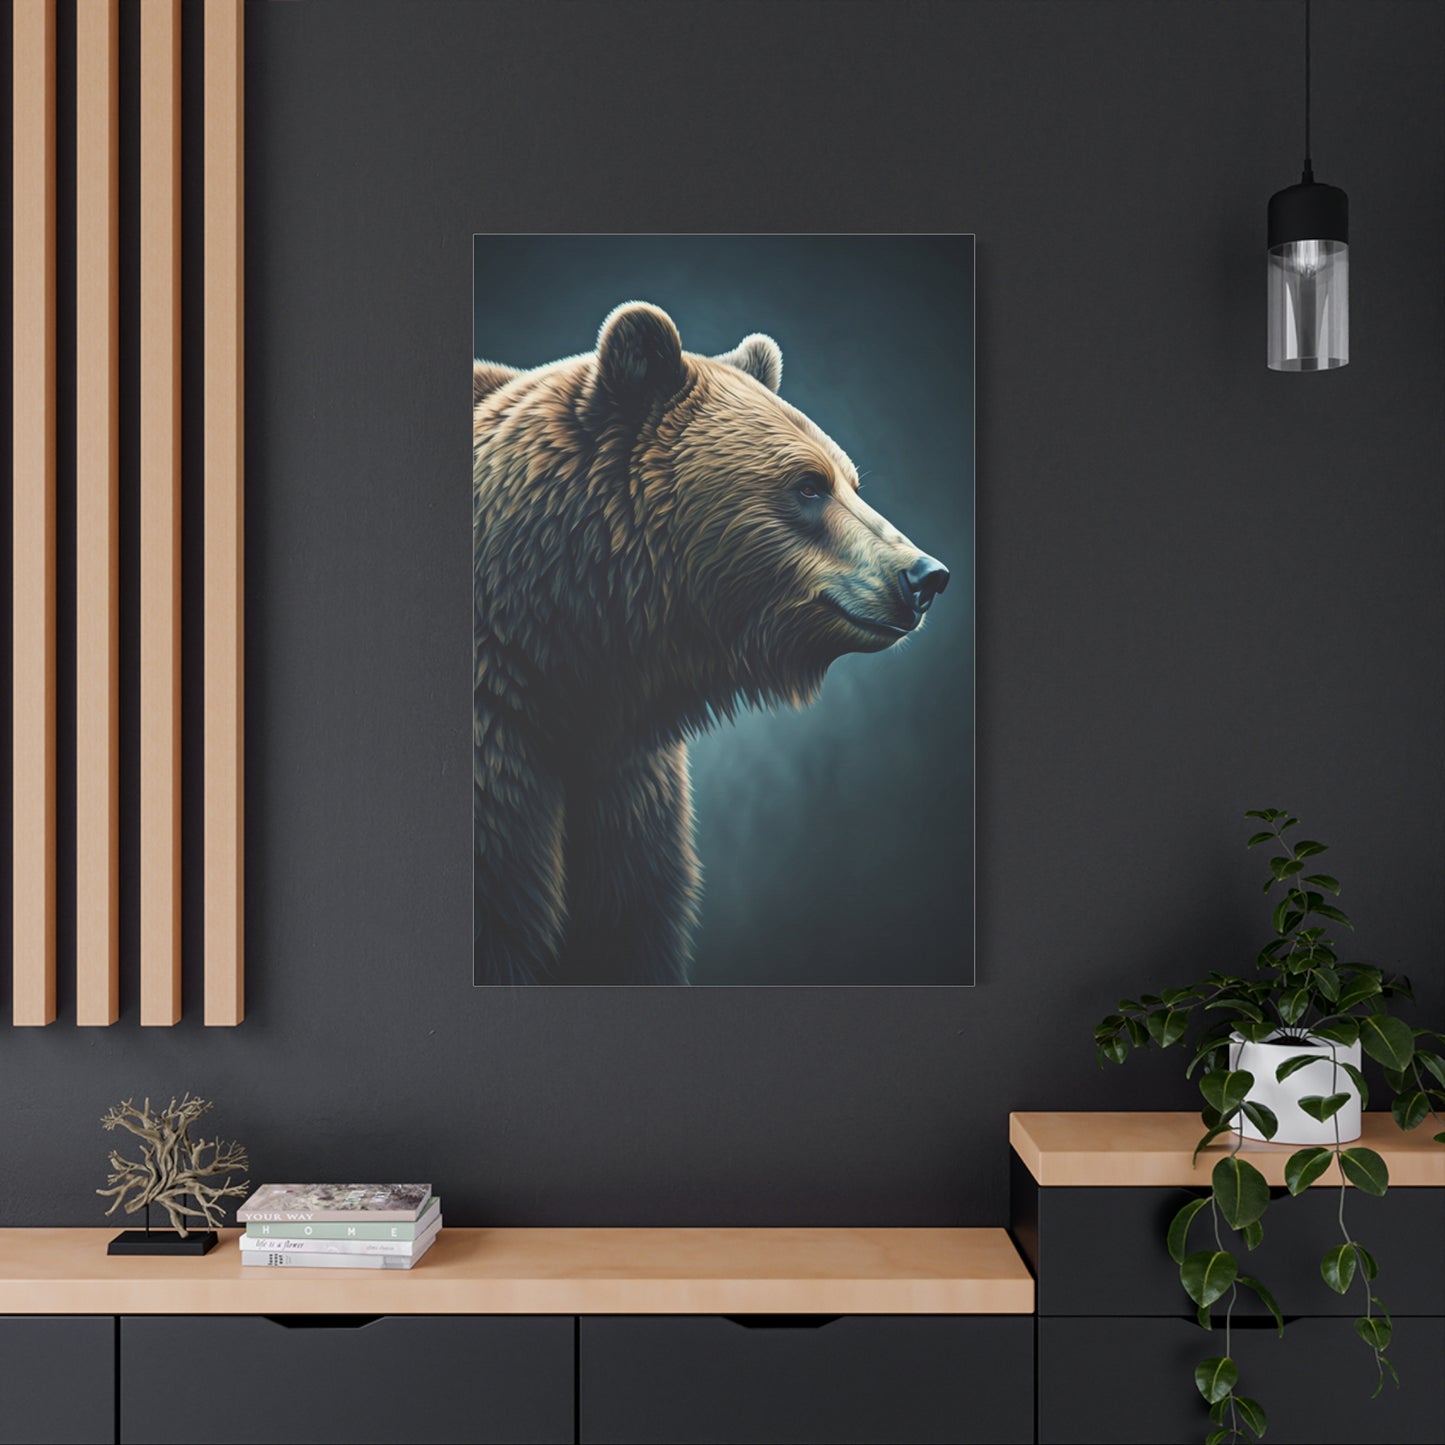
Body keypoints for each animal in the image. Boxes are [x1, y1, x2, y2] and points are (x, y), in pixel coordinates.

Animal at [473, 302, 949, 985]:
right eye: (808, 485)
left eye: (851, 481)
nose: (925, 576)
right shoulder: (500, 756)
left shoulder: (625, 781)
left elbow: (628, 921)